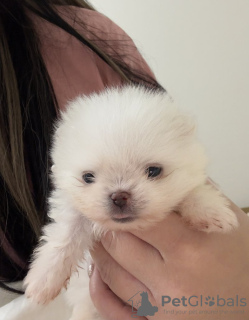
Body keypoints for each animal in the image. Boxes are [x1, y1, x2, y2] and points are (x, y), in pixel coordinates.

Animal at [24, 84, 238, 318]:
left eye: (154, 171)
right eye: (88, 177)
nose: (119, 197)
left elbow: (193, 192)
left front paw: (211, 211)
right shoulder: (73, 209)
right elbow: (63, 237)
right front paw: (43, 281)